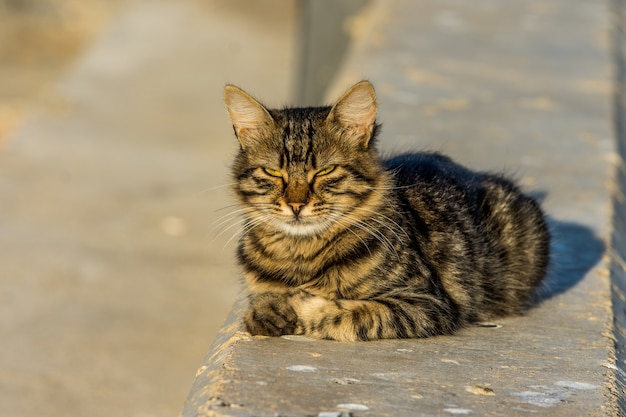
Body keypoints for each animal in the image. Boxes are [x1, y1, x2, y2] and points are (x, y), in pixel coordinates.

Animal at [222, 80, 548, 342]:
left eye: (326, 170)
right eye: (272, 172)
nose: (296, 205)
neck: (300, 254)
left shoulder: (425, 304)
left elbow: (347, 315)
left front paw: (300, 303)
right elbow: (262, 302)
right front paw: (269, 310)